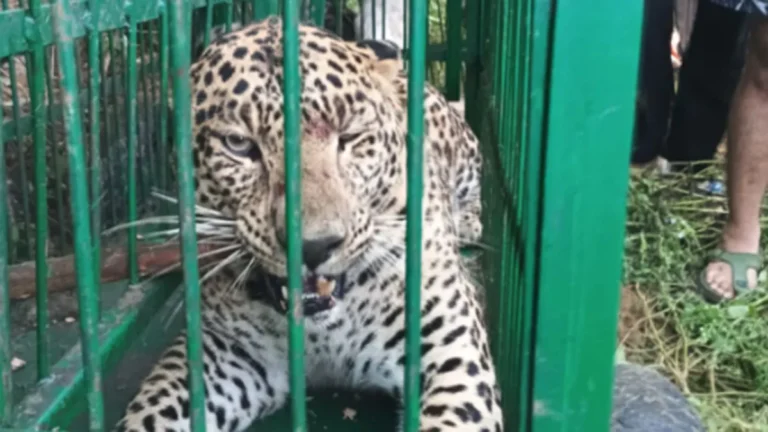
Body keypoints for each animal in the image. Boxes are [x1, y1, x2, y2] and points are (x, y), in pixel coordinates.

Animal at [115, 15, 499, 432]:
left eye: (349, 138)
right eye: (238, 144)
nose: (314, 247)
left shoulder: (450, 351)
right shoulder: (224, 351)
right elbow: (153, 409)